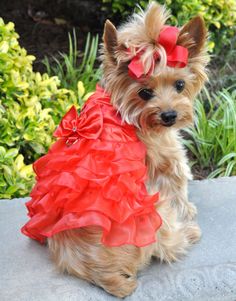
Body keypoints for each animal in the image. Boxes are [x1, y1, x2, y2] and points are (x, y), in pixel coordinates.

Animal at [21, 1, 207, 298]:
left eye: (180, 85)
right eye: (144, 93)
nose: (169, 116)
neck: (129, 114)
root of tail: (101, 274)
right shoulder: (165, 156)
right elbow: (178, 184)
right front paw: (188, 209)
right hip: (154, 210)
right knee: (167, 245)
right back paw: (188, 233)